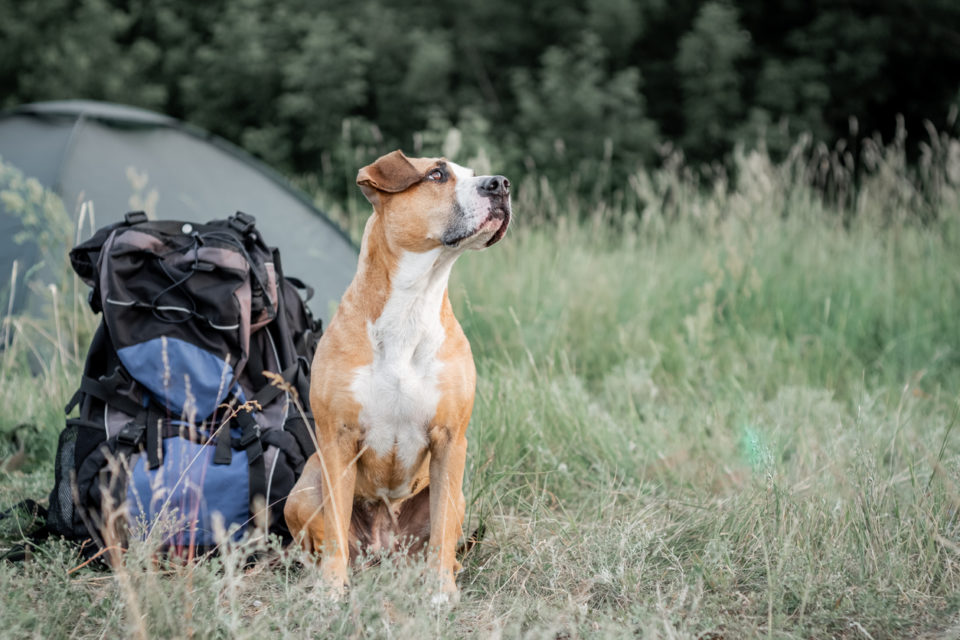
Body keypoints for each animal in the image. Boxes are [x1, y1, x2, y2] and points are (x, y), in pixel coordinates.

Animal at [284, 150, 510, 600]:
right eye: (437, 174)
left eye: (474, 175)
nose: (501, 184)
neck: (412, 304)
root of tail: (384, 549)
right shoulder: (337, 438)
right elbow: (335, 526)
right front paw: (331, 590)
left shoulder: (450, 440)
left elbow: (442, 528)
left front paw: (441, 591)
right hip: (303, 488)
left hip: (455, 494)